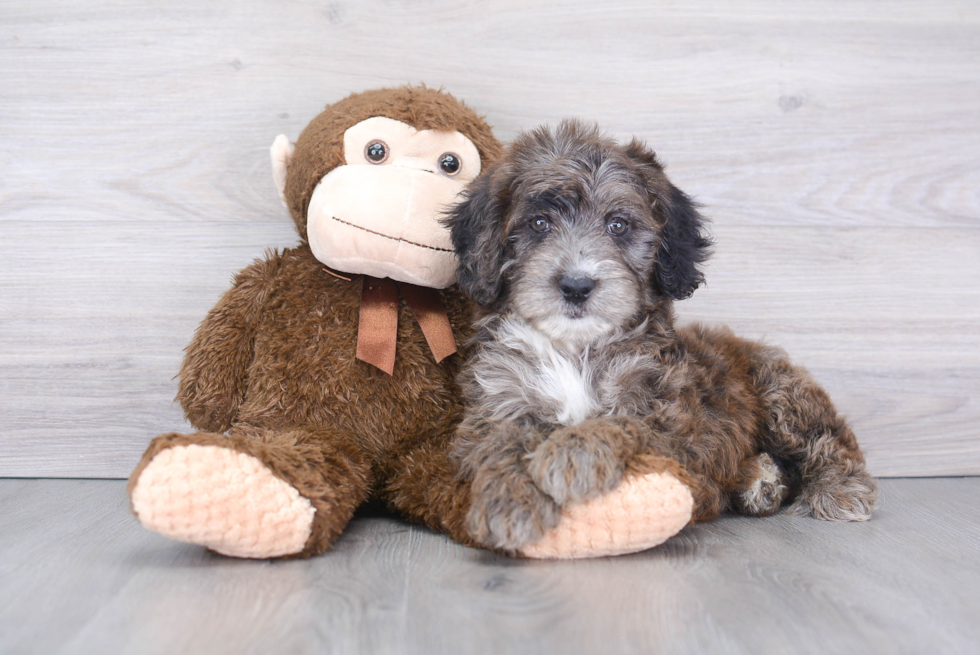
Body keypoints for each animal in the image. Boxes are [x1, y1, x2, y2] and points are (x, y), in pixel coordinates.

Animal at [444, 119, 880, 552]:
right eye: (538, 224)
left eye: (618, 225)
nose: (576, 286)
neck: (576, 348)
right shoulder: (495, 404)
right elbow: (500, 442)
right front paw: (507, 501)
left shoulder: (676, 428)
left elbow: (622, 424)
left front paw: (569, 455)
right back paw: (760, 479)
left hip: (782, 393)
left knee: (830, 441)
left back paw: (839, 491)